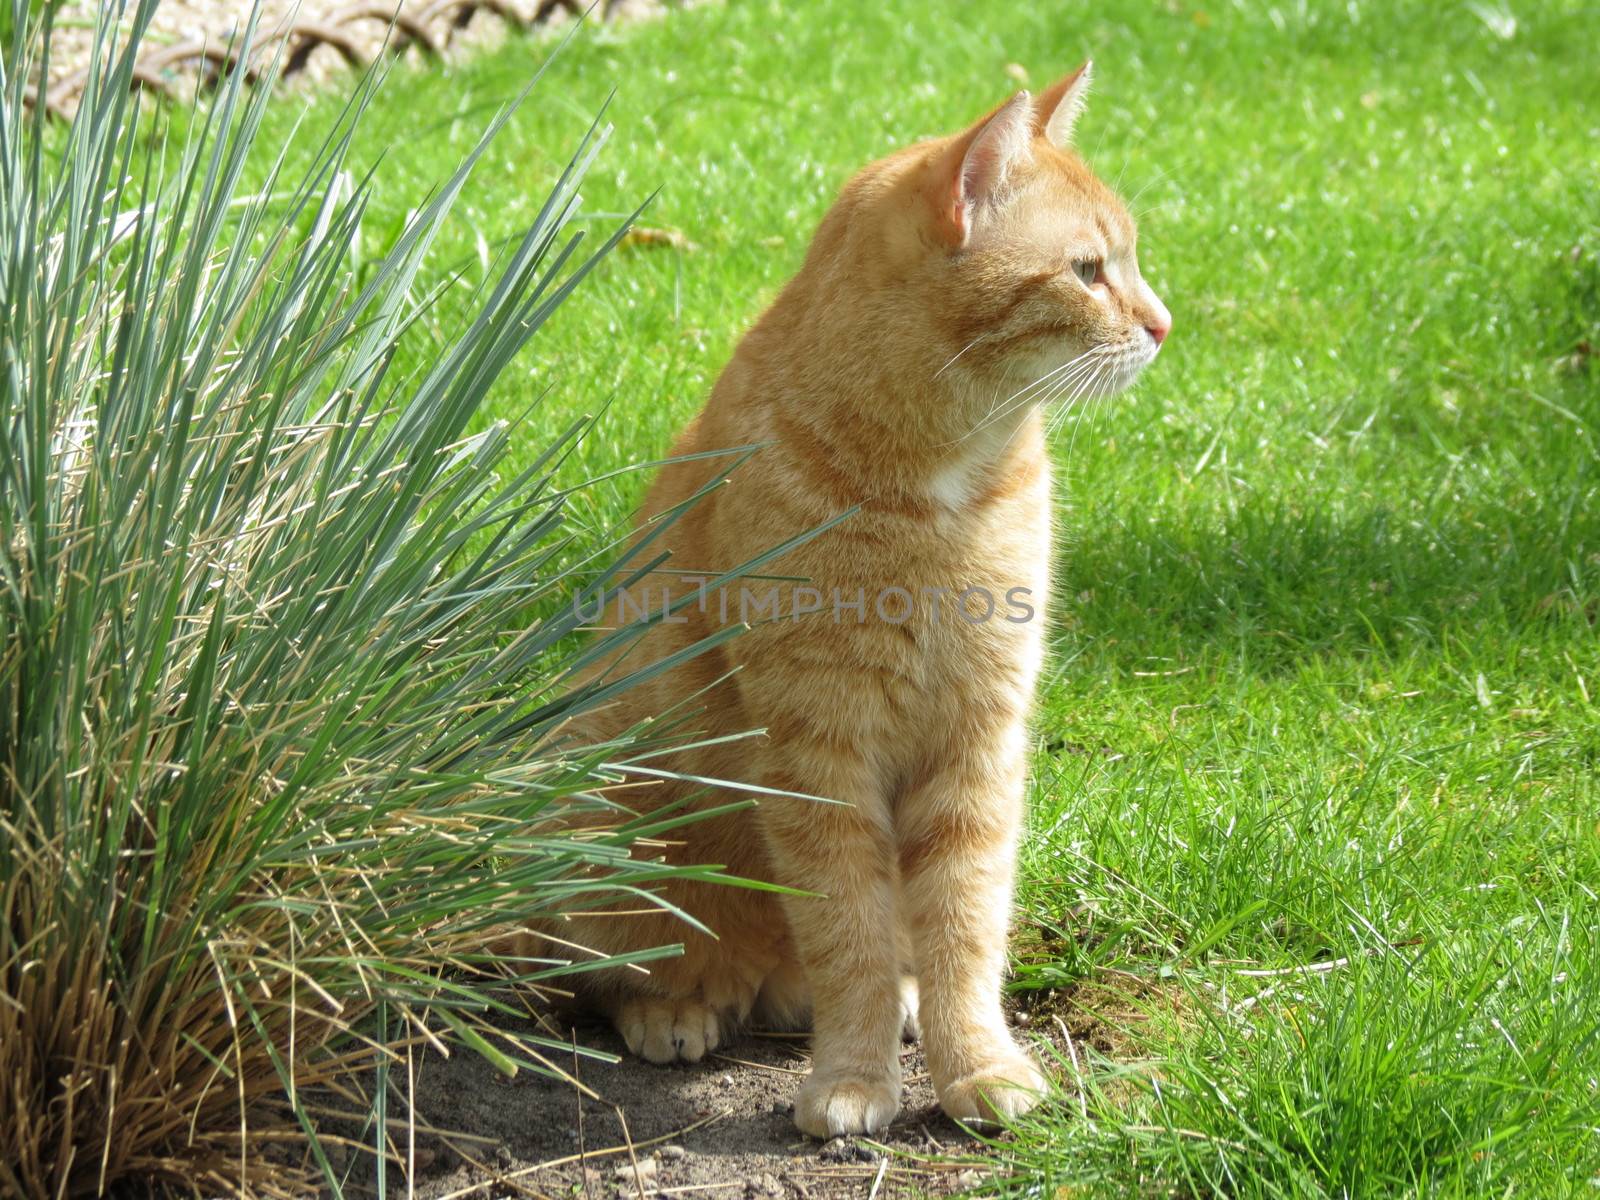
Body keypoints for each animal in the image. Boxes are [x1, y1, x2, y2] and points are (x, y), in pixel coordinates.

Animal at [544, 65, 1171, 1139]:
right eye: (1089, 271)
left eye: (1122, 263)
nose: (1164, 324)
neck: (941, 485)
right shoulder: (816, 749)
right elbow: (849, 931)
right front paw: (851, 1078)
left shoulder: (978, 740)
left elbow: (963, 924)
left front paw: (979, 1066)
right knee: (626, 969)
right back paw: (677, 1007)